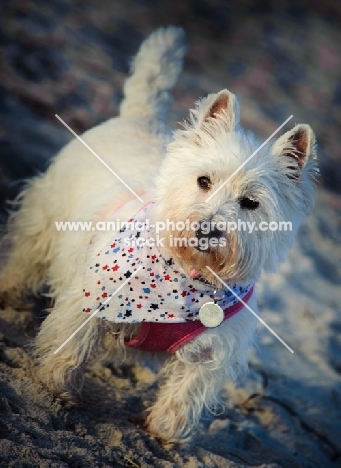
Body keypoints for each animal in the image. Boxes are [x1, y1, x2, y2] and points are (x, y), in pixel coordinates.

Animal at [1, 28, 318, 446]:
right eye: (204, 180)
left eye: (250, 203)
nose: (206, 229)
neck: (186, 274)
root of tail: (139, 117)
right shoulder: (91, 297)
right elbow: (71, 346)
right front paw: (54, 387)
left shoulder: (214, 349)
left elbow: (185, 392)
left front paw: (164, 432)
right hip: (45, 214)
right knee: (25, 256)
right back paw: (9, 292)